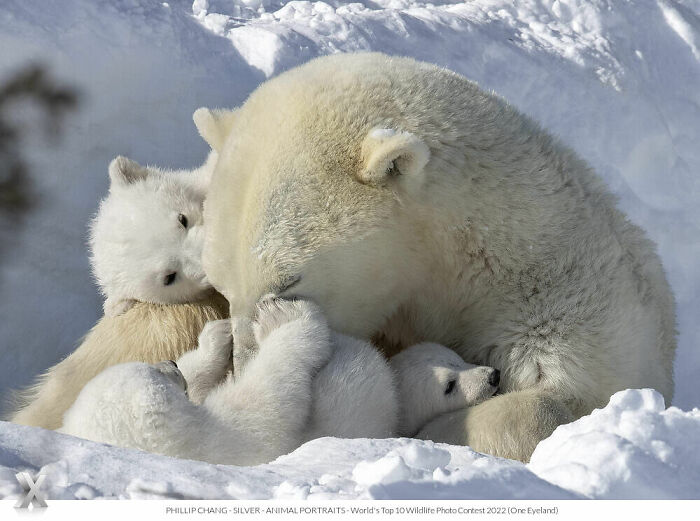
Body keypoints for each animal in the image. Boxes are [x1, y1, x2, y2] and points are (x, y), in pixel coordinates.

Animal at [60, 297, 499, 464]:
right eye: (157, 374)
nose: (170, 364)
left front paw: (214, 339)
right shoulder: (224, 444)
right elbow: (269, 401)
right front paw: (284, 317)